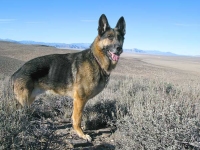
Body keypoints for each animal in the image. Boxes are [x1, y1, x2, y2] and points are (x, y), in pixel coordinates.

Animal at [11, 14, 125, 142]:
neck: (96, 60)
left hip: (29, 99)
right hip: (23, 101)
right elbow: (77, 119)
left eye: (120, 38)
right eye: (110, 37)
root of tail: (17, 71)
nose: (119, 48)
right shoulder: (79, 100)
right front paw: (81, 134)